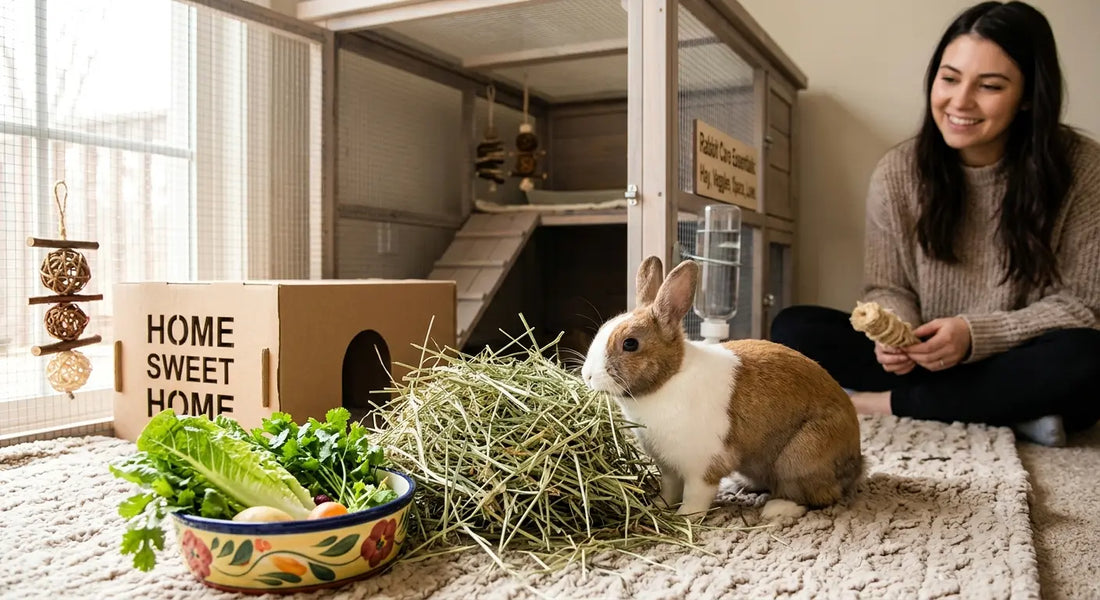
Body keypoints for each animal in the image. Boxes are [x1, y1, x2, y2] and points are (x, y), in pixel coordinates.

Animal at [581, 256, 864, 520]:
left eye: (630, 343)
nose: (587, 376)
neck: (669, 379)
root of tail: (857, 463)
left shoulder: (703, 468)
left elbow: (695, 497)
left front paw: (685, 517)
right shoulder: (669, 468)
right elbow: (669, 490)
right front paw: (657, 506)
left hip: (799, 458)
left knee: (819, 496)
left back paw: (777, 509)